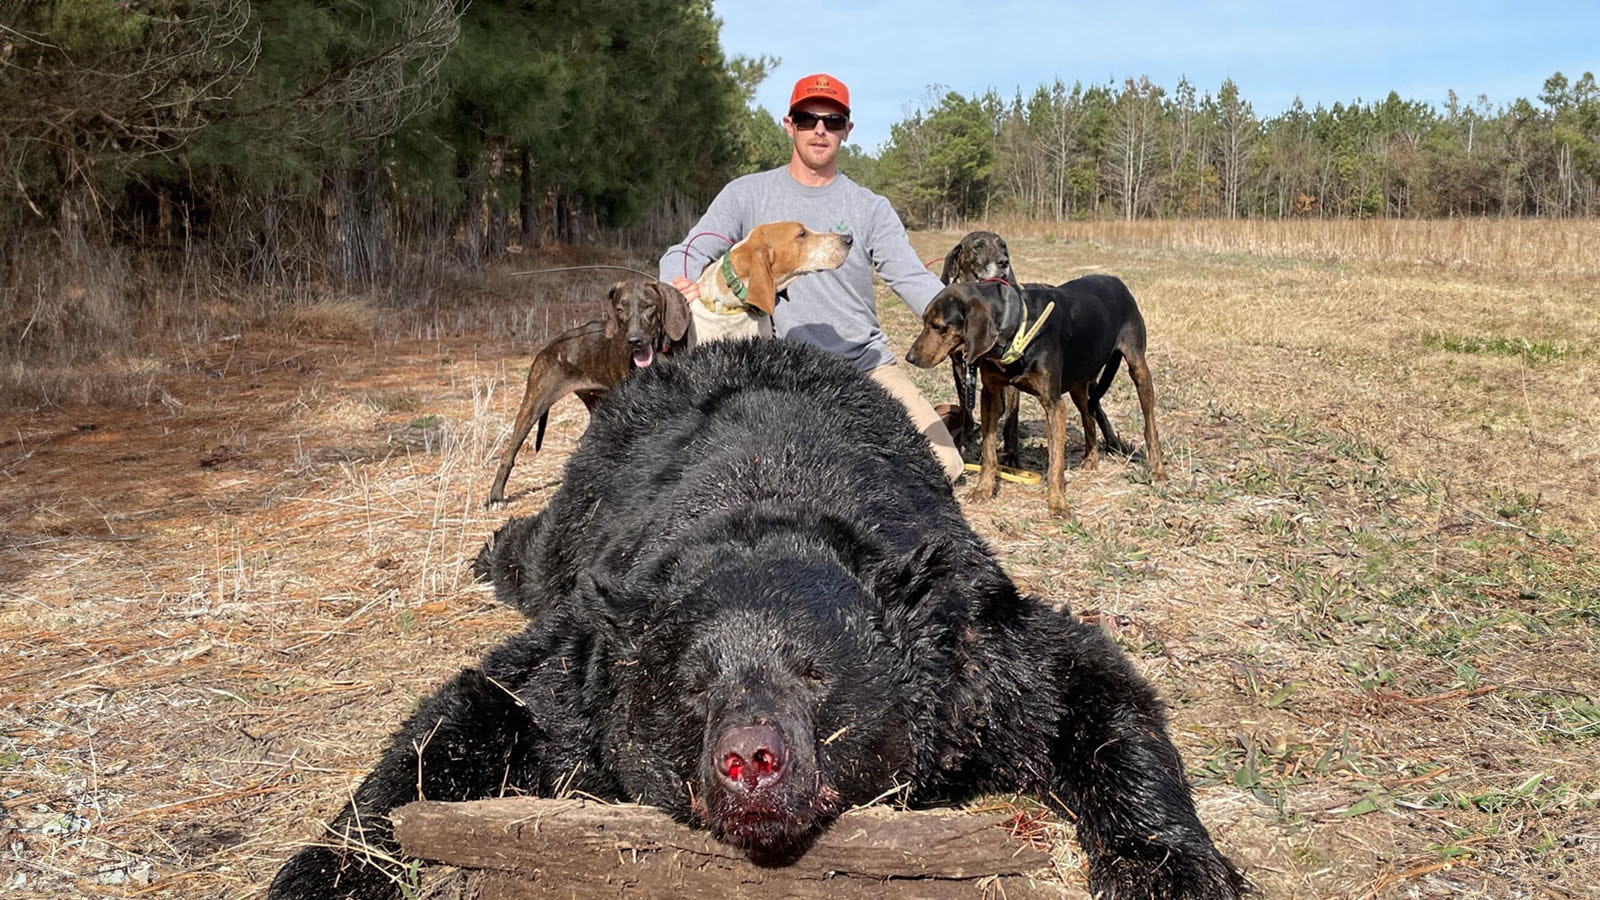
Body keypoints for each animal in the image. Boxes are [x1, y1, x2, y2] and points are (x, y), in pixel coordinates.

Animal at [265, 336, 1248, 896]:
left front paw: (1175, 868)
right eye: (692, 687)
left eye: (817, 675)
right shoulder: (582, 665)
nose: (751, 759)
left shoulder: (972, 647)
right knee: (533, 549)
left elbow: (1092, 691)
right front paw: (329, 866)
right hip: (574, 523)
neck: (765, 513)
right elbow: (464, 716)